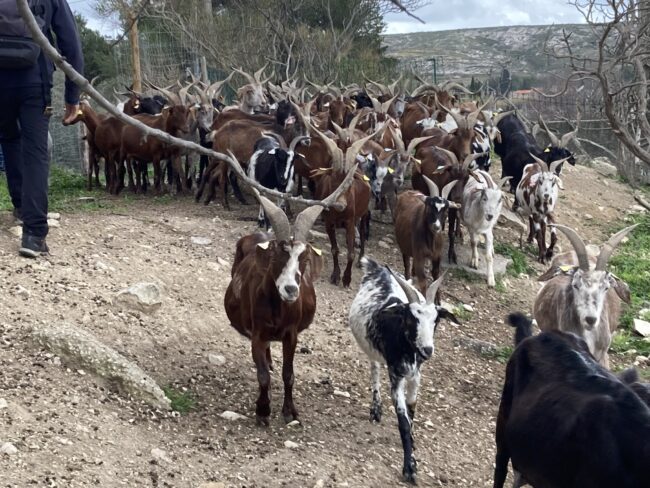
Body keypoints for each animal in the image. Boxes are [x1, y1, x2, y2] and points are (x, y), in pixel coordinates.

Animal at [223, 167, 354, 424]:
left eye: (304, 259)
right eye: (276, 257)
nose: (291, 290)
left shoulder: (291, 335)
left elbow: (288, 374)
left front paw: (289, 411)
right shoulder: (257, 334)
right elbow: (263, 375)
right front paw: (263, 411)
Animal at [346, 258, 458, 486]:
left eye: (436, 320)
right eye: (411, 318)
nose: (427, 350)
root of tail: (378, 268)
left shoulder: (416, 375)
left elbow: (412, 409)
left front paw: (413, 445)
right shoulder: (396, 376)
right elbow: (403, 422)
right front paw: (409, 468)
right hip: (371, 350)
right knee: (374, 370)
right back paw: (376, 409)